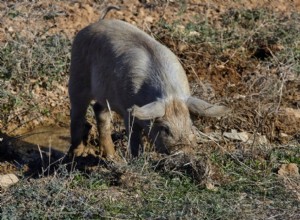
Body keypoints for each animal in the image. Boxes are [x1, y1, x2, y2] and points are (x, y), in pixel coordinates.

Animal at [67, 6, 227, 158]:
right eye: (165, 128)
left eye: (189, 125)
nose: (183, 152)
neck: (169, 92)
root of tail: (96, 22)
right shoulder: (128, 111)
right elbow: (134, 140)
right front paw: (136, 158)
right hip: (77, 75)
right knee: (76, 114)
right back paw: (77, 154)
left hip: (104, 92)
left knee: (99, 110)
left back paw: (112, 157)